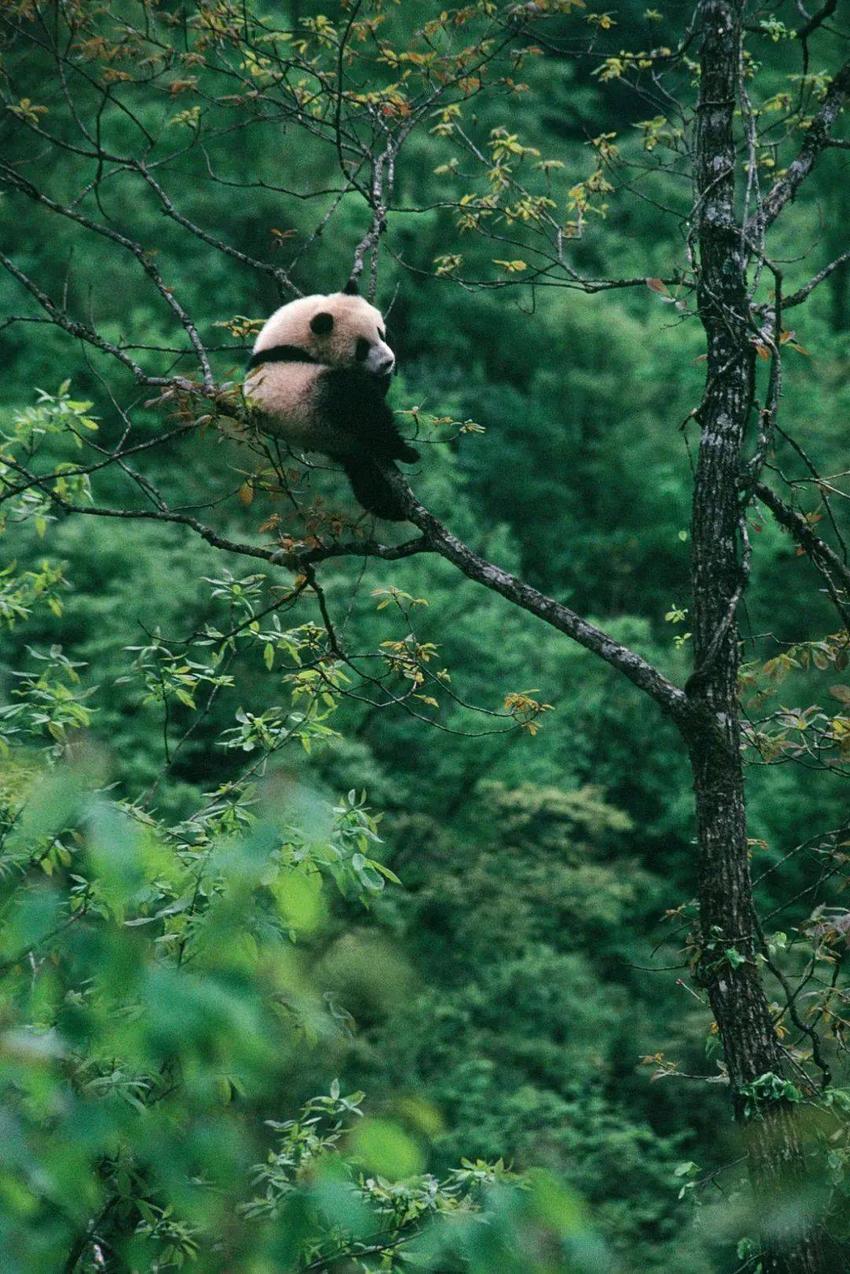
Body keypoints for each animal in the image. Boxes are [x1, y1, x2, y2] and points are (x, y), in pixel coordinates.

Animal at [242, 284, 417, 522]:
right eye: (362, 348)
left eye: (380, 333)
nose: (388, 362)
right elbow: (367, 395)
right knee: (357, 406)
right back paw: (402, 451)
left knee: (364, 475)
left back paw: (389, 506)